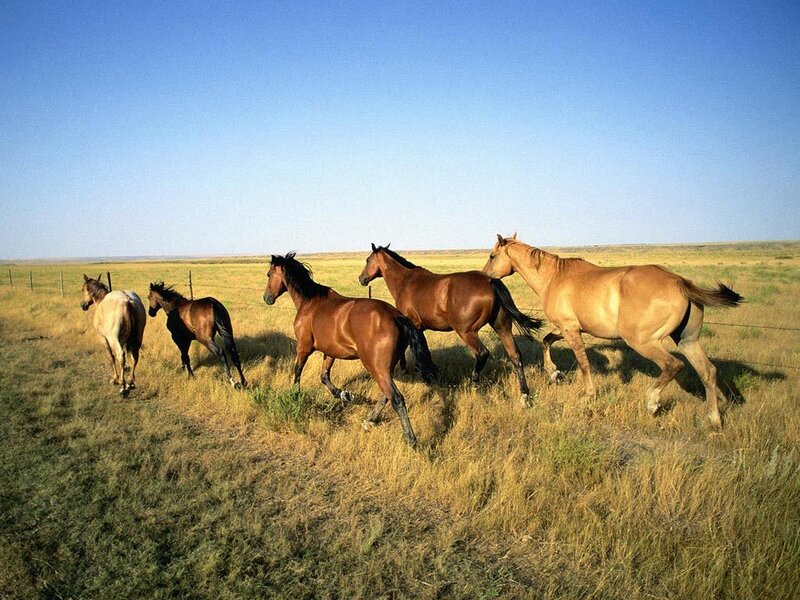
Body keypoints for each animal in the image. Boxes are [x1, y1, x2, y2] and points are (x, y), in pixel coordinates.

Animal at [263, 252, 437, 447]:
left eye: (269, 274)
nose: (266, 298)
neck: (309, 303)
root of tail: (396, 316)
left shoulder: (303, 348)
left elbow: (298, 372)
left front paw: (295, 395)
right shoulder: (330, 352)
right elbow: (325, 377)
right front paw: (347, 395)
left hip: (375, 367)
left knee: (396, 398)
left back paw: (410, 439)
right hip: (385, 368)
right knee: (386, 395)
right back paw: (370, 420)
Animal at [358, 244, 542, 406]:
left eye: (367, 260)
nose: (361, 279)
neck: (406, 281)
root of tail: (490, 281)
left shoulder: (411, 325)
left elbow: (416, 353)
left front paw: (414, 372)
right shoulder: (418, 328)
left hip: (466, 332)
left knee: (482, 353)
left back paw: (474, 385)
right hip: (502, 328)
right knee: (515, 356)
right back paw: (525, 396)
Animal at [483, 234, 743, 427]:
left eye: (492, 255)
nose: (485, 277)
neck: (554, 277)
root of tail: (680, 282)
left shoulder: (570, 329)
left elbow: (583, 363)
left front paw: (588, 395)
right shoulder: (566, 328)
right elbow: (547, 341)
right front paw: (554, 373)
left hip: (642, 341)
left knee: (673, 365)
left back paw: (652, 402)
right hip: (687, 341)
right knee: (708, 372)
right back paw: (714, 420)